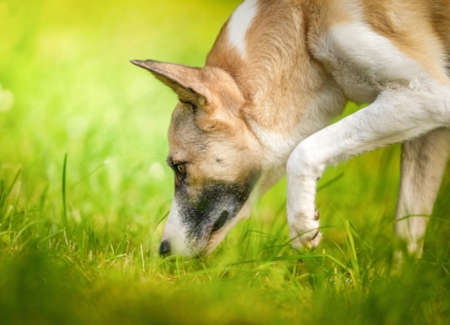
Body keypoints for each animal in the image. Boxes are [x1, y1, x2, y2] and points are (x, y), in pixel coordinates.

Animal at [132, 0, 448, 258]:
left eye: (179, 167)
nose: (163, 251)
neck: (303, 25)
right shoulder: (431, 129)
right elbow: (407, 232)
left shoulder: (426, 92)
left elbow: (303, 151)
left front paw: (303, 225)